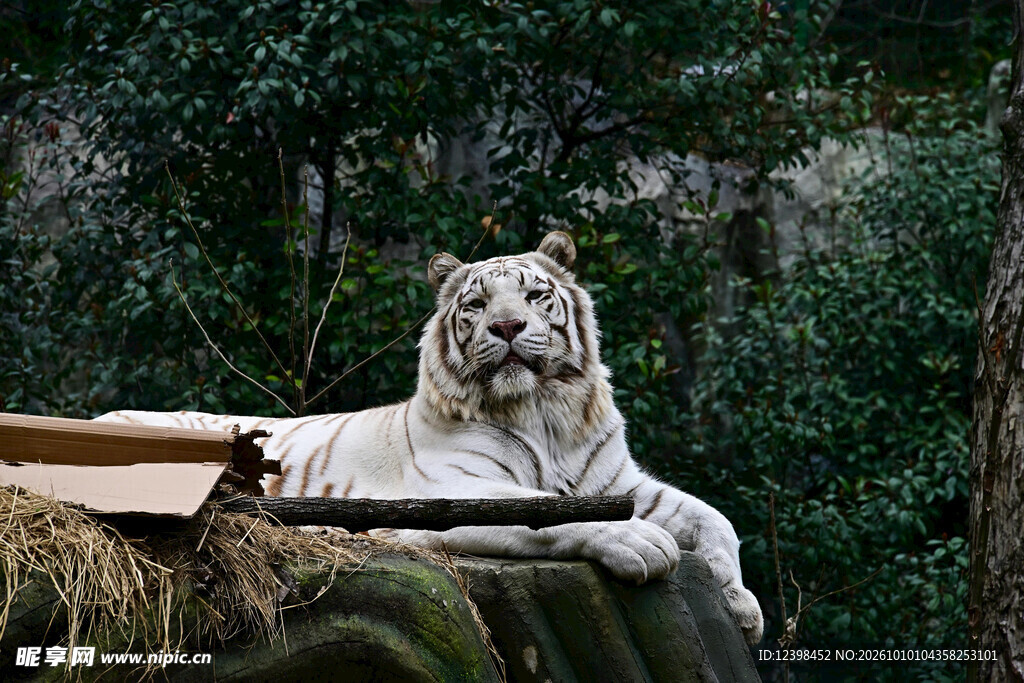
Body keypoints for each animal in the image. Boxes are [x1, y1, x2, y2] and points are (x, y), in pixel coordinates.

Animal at [97, 230, 763, 644]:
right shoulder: (453, 491)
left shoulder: (619, 480)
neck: (543, 414)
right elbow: (547, 511)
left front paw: (741, 606)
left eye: (534, 294)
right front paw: (641, 543)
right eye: (477, 304)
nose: (507, 326)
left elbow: (714, 518)